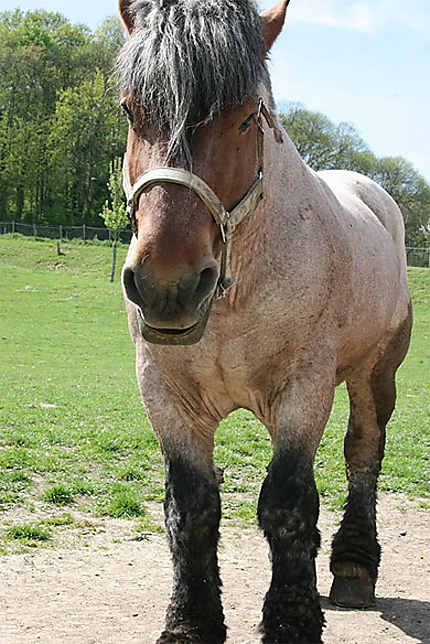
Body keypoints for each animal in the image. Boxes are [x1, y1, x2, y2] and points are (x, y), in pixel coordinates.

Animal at [116, 1, 412, 640]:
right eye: (131, 108)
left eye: (247, 118)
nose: (168, 284)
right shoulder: (165, 395)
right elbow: (192, 508)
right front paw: (191, 623)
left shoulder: (301, 391)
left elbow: (287, 504)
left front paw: (291, 620)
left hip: (374, 374)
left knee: (363, 450)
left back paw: (353, 567)